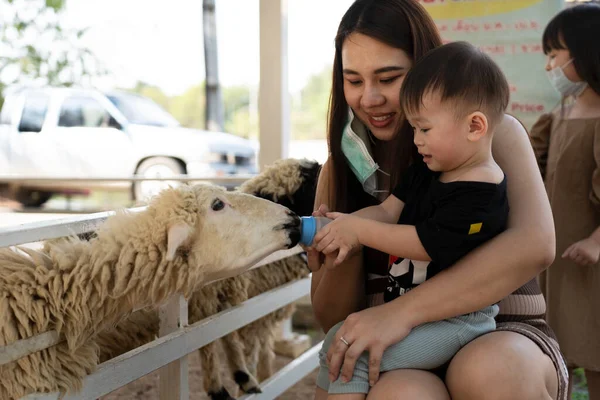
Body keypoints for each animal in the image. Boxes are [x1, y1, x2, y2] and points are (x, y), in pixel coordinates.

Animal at [94, 159, 322, 400]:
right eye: (308, 185)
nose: (294, 219)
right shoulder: (208, 303)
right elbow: (216, 342)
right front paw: (223, 387)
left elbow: (245, 346)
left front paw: (249, 378)